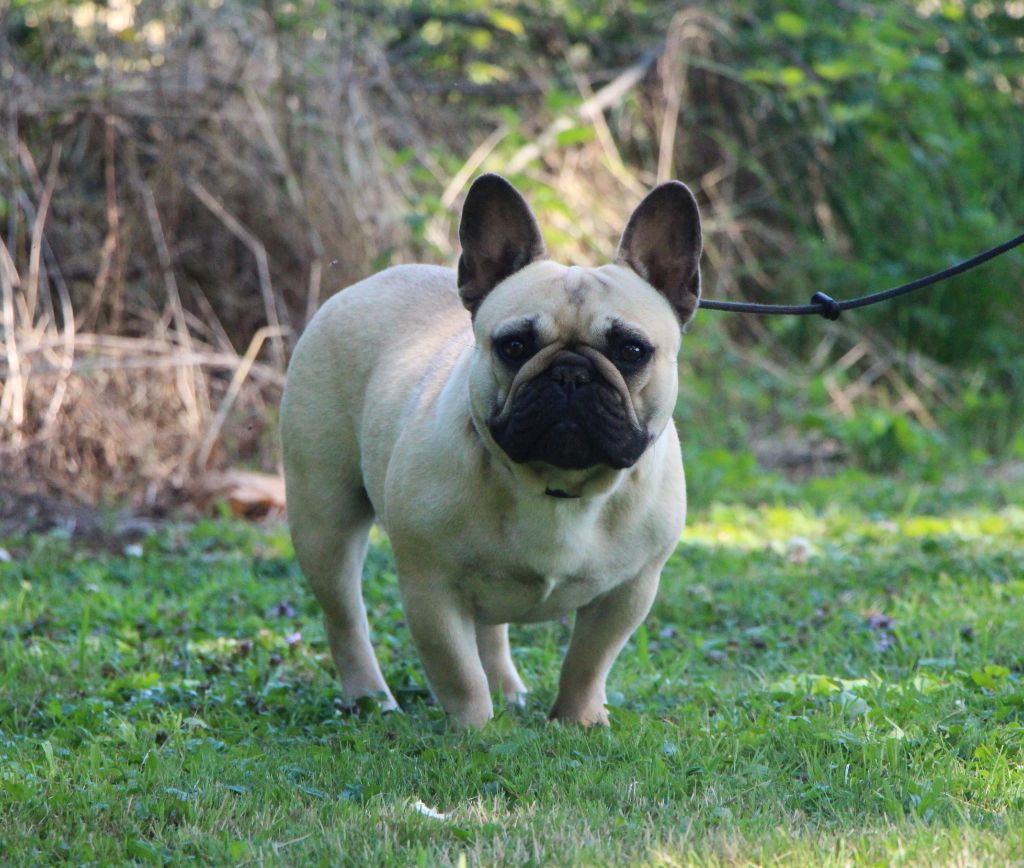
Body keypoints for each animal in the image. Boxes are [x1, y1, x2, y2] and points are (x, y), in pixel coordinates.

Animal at [280, 175, 704, 724]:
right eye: (514, 347)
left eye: (632, 351)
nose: (570, 374)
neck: (557, 486)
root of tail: (363, 285)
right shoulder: (431, 588)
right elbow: (458, 673)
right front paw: (475, 730)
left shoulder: (629, 590)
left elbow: (588, 662)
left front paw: (579, 721)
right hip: (324, 520)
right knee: (345, 615)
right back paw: (371, 699)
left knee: (490, 632)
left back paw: (508, 690)